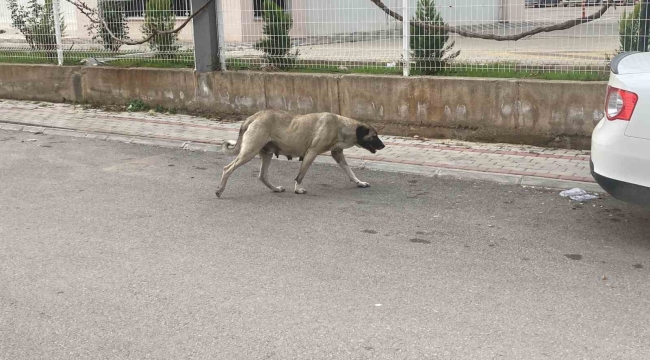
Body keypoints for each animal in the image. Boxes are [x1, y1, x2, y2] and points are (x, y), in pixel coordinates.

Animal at [215, 111, 382, 198]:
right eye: (374, 136)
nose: (383, 145)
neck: (341, 126)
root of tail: (254, 116)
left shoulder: (338, 154)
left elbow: (350, 172)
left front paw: (359, 182)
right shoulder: (311, 153)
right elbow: (300, 175)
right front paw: (298, 189)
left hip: (266, 153)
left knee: (262, 176)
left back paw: (275, 189)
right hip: (249, 152)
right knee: (227, 169)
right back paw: (220, 190)